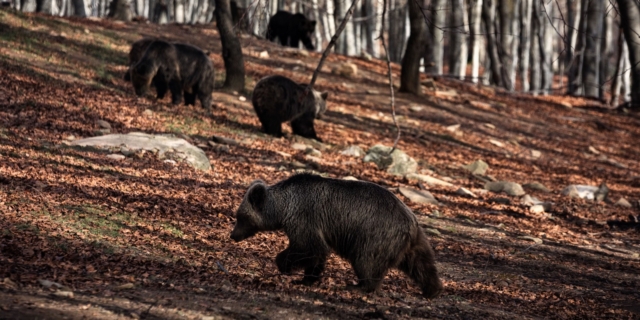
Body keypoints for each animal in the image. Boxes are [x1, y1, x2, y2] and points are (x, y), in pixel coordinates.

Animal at [230, 174, 444, 298]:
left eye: (240, 216)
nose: (233, 235)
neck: (283, 208)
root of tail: (411, 222)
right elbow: (316, 254)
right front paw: (307, 278)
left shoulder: (304, 218)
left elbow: (309, 247)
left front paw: (286, 266)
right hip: (414, 242)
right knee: (422, 264)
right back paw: (432, 289)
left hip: (375, 235)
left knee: (367, 261)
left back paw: (358, 286)